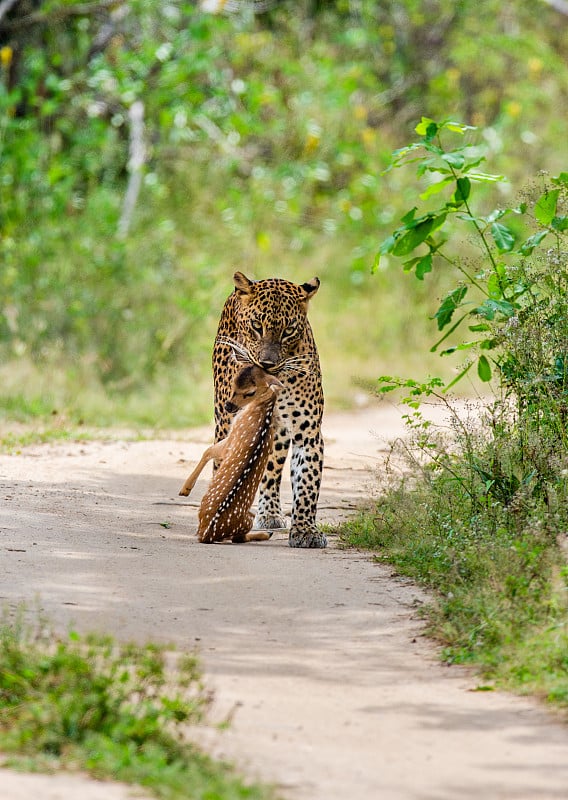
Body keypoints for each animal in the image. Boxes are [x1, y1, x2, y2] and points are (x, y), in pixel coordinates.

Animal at [212, 272, 328, 548]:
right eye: (256, 325)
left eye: (288, 331)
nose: (267, 363)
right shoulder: (231, 424)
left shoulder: (307, 430)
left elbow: (307, 481)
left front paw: (305, 530)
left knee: (271, 471)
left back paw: (270, 513)